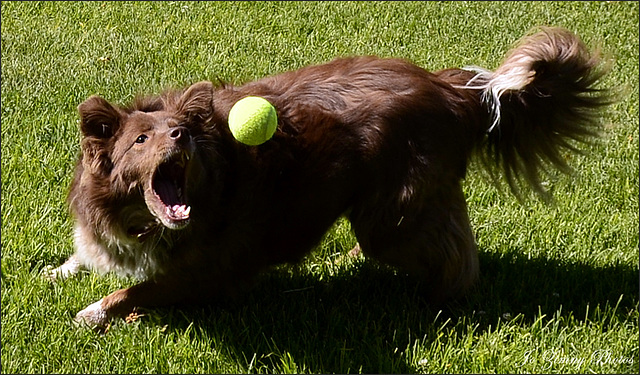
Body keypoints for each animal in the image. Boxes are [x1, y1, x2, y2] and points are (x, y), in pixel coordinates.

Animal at [46, 27, 608, 328]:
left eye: (178, 131)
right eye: (141, 139)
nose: (181, 138)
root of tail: (451, 88)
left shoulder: (209, 272)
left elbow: (134, 291)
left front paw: (93, 314)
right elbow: (86, 258)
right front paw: (56, 272)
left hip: (394, 218)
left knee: (458, 257)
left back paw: (438, 303)